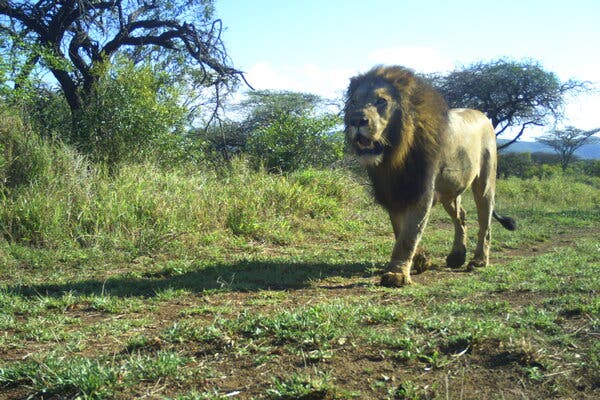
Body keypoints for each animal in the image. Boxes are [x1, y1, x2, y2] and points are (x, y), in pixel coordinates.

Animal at [342, 65, 516, 286]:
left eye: (381, 100)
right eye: (354, 102)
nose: (356, 120)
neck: (394, 156)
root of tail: (483, 116)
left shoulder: (421, 193)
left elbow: (408, 235)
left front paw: (397, 274)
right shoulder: (395, 194)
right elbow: (400, 231)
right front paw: (420, 260)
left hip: (484, 182)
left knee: (485, 221)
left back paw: (478, 261)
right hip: (450, 190)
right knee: (461, 216)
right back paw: (457, 257)